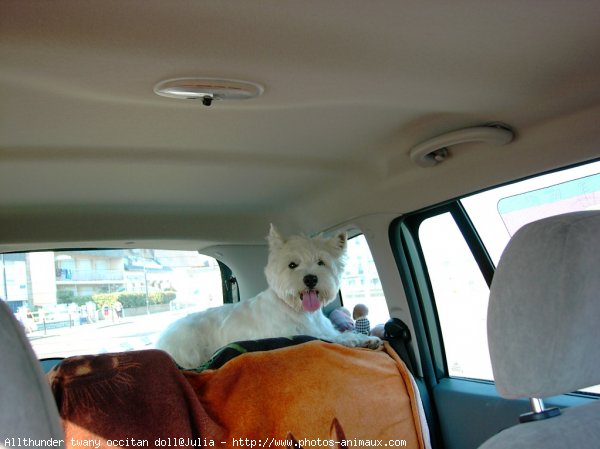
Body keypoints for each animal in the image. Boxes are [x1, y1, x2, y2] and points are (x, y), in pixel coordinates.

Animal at [155, 224, 380, 368]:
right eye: (292, 265)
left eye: (321, 262)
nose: (310, 279)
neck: (296, 309)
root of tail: (160, 341)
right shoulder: (296, 334)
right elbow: (332, 338)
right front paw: (355, 339)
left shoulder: (324, 328)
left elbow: (340, 334)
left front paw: (366, 339)